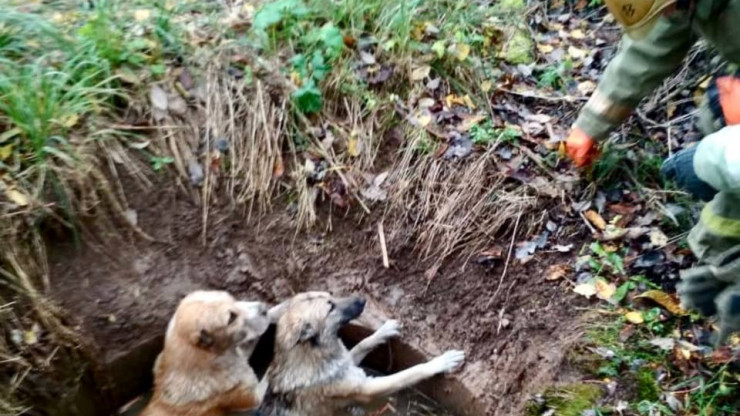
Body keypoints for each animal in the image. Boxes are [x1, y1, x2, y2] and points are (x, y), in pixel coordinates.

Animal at [262, 292, 462, 416]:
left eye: (331, 295)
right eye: (330, 308)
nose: (362, 299)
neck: (312, 354)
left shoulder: (349, 363)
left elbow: (362, 344)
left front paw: (383, 330)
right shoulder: (368, 388)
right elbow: (411, 372)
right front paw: (440, 362)